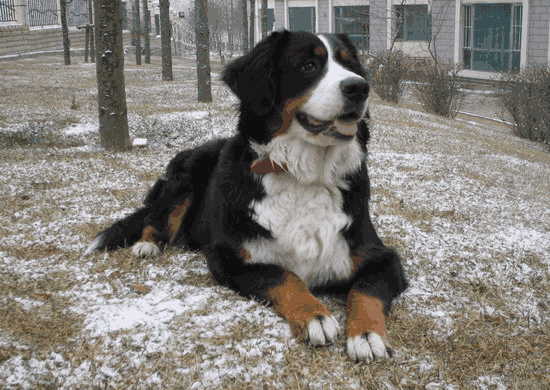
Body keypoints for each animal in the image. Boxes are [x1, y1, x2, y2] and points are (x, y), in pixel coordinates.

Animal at [84, 30, 408, 362]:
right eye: (308, 65)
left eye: (351, 64)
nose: (359, 87)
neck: (304, 176)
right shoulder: (229, 257)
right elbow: (283, 276)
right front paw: (314, 315)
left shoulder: (382, 257)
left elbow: (365, 290)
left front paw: (366, 334)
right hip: (186, 176)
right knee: (155, 217)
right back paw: (147, 244)